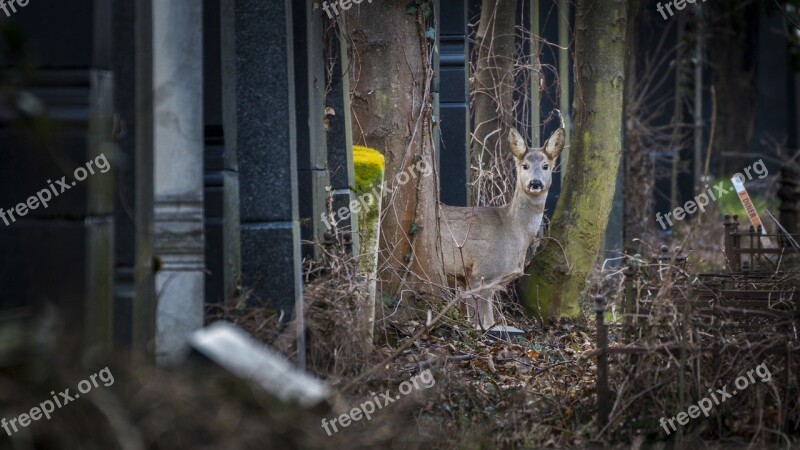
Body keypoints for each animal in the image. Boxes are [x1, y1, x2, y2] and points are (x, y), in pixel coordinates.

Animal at [440, 125, 564, 328]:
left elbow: (487, 320)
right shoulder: (481, 272)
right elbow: (480, 322)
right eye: (525, 165)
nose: (535, 183)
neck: (513, 229)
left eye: (546, 166)